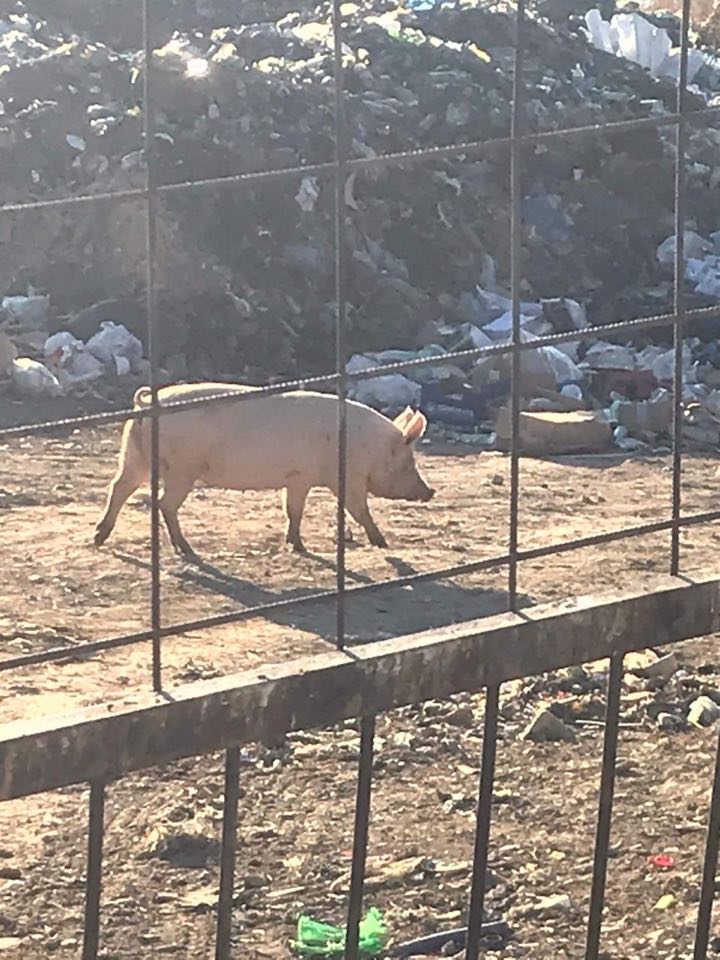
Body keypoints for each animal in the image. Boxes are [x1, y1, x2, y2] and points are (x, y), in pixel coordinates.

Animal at [95, 382, 434, 560]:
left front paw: (296, 544)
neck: (370, 447)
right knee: (163, 503)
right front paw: (383, 543)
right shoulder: (347, 478)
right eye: (409, 462)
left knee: (119, 486)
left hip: (134, 455)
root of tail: (145, 404)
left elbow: (293, 510)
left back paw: (99, 537)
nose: (430, 491)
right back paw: (187, 550)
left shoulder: (298, 478)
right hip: (181, 469)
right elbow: (359, 510)